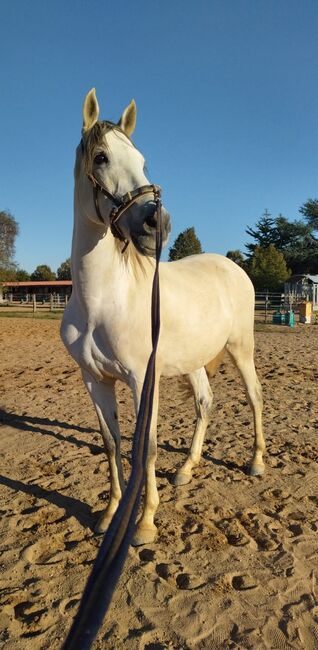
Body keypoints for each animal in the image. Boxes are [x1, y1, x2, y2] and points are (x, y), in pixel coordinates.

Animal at [60, 88, 264, 544]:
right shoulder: (93, 379)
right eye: (101, 157)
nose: (157, 222)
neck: (102, 300)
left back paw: (257, 462)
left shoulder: (141, 379)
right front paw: (109, 516)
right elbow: (112, 444)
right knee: (205, 404)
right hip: (193, 361)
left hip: (241, 349)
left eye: (142, 159)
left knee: (255, 397)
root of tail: (232, 266)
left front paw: (145, 523)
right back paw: (186, 469)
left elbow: (146, 448)